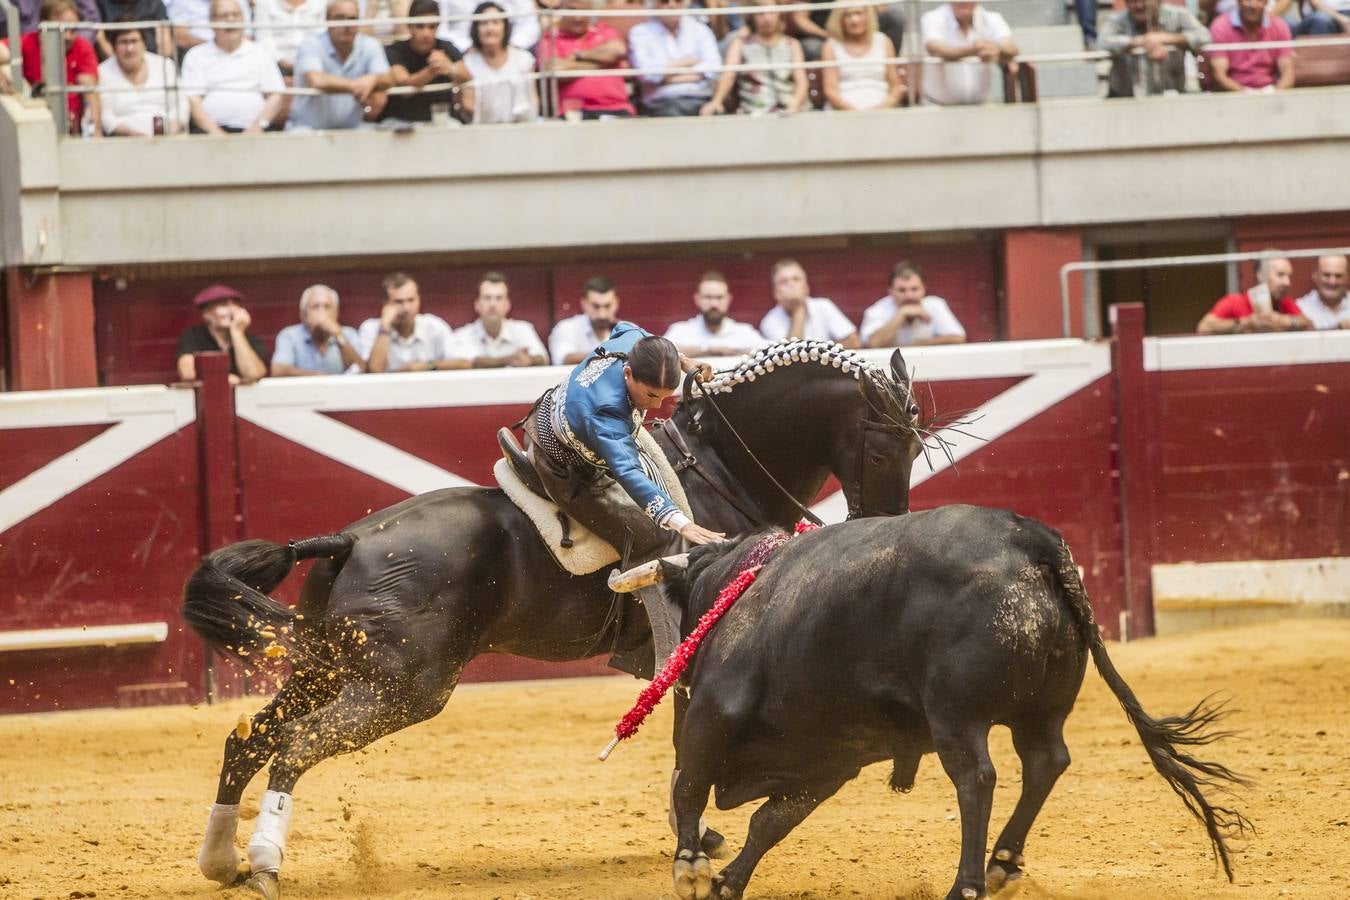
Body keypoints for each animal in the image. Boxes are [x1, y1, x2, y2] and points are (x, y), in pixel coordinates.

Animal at [182, 341, 928, 895]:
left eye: (917, 448)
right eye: (882, 448)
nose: (885, 523)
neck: (718, 469)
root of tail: (351, 539)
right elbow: (687, 738)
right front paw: (695, 836)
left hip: (330, 669)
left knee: (249, 737)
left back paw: (222, 860)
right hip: (401, 688)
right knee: (294, 745)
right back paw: (265, 865)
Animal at [621, 507, 1252, 900]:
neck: (738, 588)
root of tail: (1029, 537)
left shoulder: (713, 715)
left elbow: (690, 785)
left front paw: (691, 870)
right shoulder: (832, 760)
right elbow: (770, 820)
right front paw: (727, 881)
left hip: (956, 716)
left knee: (977, 778)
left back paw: (967, 883)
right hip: (1042, 710)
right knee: (1046, 762)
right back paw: (1002, 864)